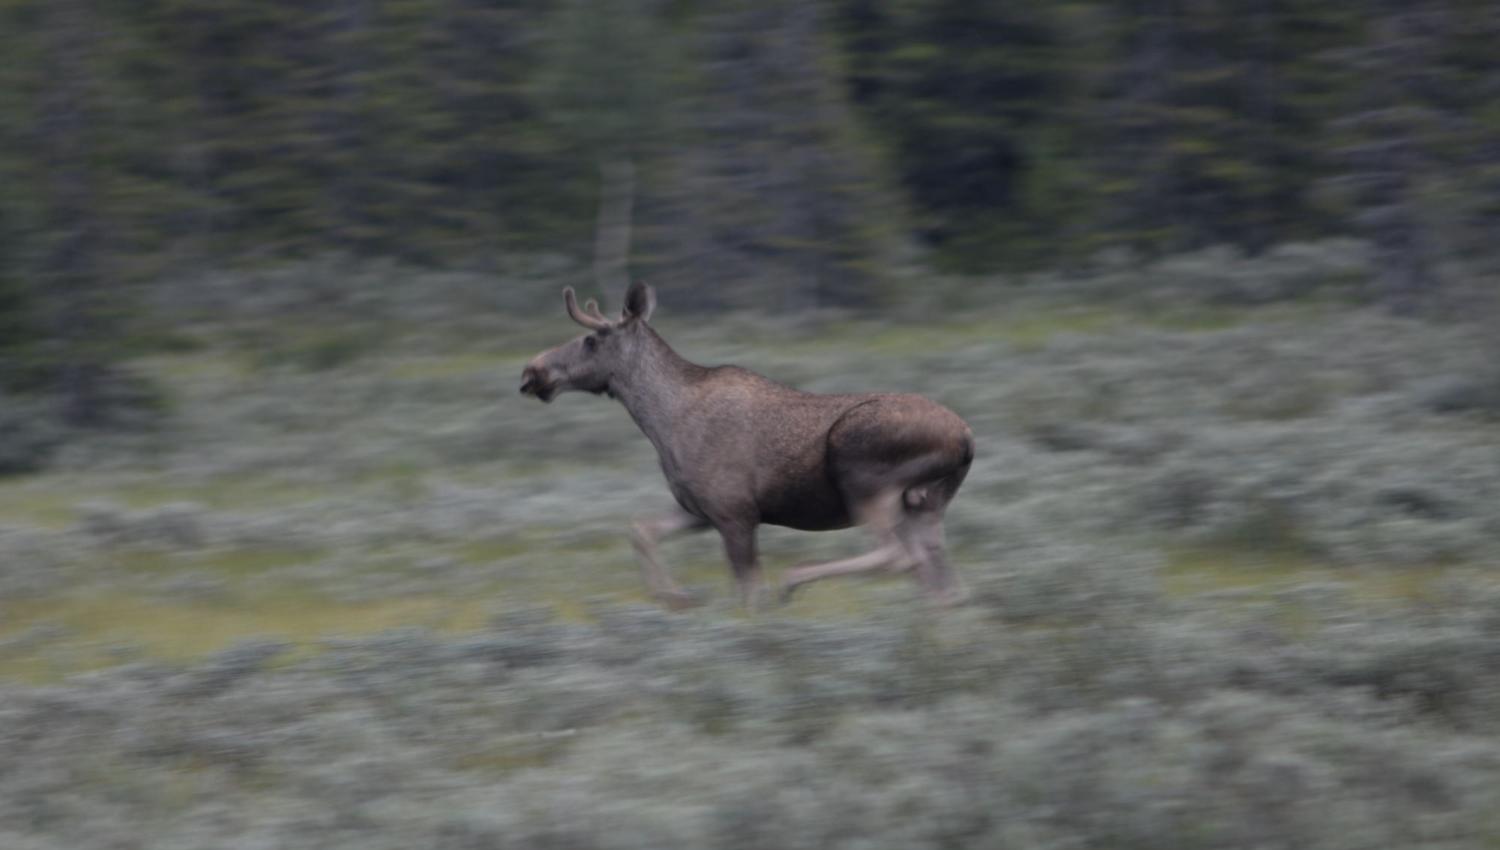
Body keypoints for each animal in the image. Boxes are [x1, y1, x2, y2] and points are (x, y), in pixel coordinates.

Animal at [519, 281, 974, 609]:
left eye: (591, 340)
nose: (532, 371)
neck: (661, 423)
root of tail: (967, 440)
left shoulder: (734, 512)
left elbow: (748, 591)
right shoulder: (700, 509)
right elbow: (641, 530)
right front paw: (674, 595)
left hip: (864, 480)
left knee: (899, 556)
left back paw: (794, 579)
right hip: (926, 504)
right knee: (941, 580)